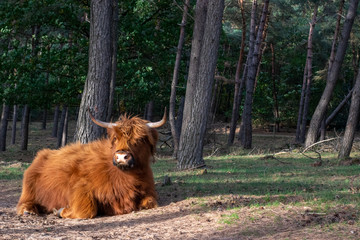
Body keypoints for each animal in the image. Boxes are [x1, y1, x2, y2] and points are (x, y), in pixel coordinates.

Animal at [15, 109, 165, 218]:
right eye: (115, 138)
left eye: (139, 139)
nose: (122, 157)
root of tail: (43, 154)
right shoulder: (80, 188)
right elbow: (86, 211)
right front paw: (61, 210)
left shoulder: (148, 191)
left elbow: (151, 202)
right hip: (29, 189)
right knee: (23, 203)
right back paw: (28, 211)